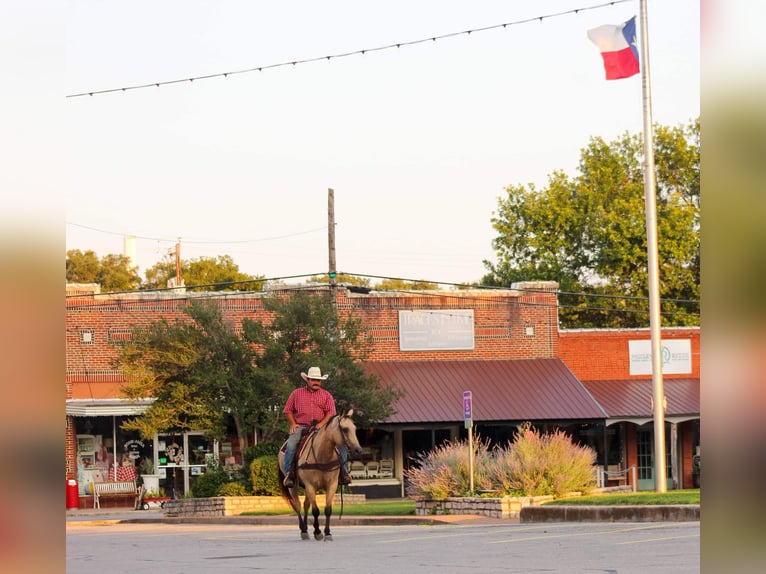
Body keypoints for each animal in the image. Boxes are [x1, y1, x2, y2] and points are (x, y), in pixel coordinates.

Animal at [280, 412, 366, 544]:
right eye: (345, 429)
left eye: (355, 429)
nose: (358, 450)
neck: (322, 455)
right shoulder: (310, 485)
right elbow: (316, 511)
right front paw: (318, 532)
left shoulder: (332, 485)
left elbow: (327, 510)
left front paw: (327, 533)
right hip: (292, 485)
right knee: (298, 506)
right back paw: (303, 530)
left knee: (305, 505)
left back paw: (307, 528)